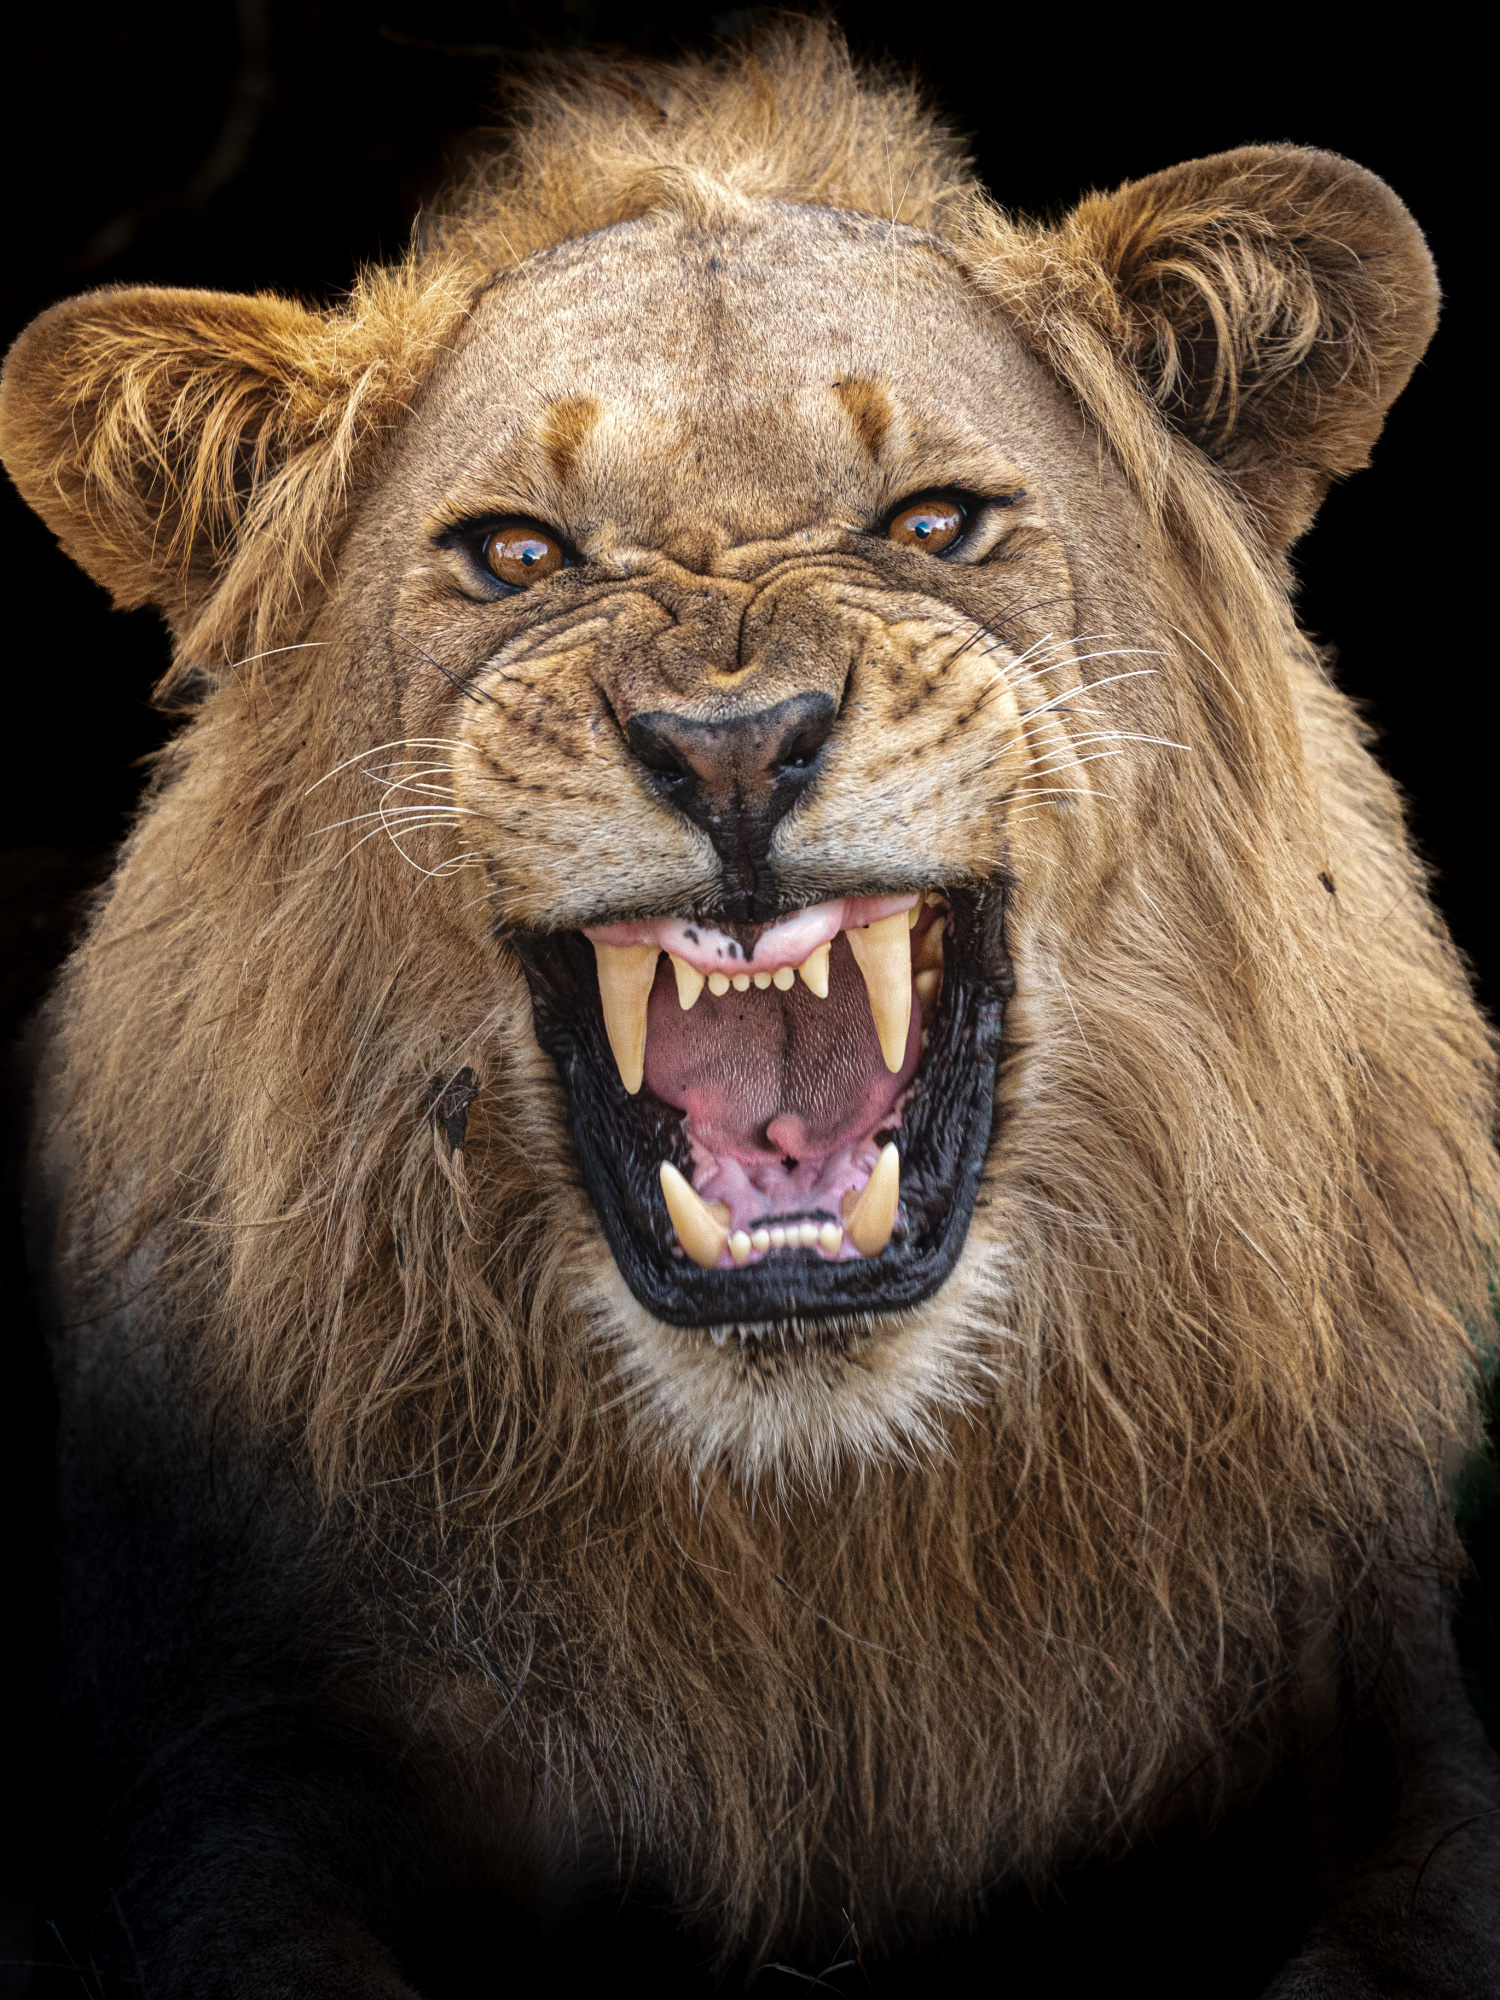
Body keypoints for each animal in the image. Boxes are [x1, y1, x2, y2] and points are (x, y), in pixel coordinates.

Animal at [3, 21, 1497, 1994]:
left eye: (932, 522)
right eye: (518, 556)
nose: (729, 746)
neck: (814, 1532)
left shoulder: (1374, 1682)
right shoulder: (237, 1741)